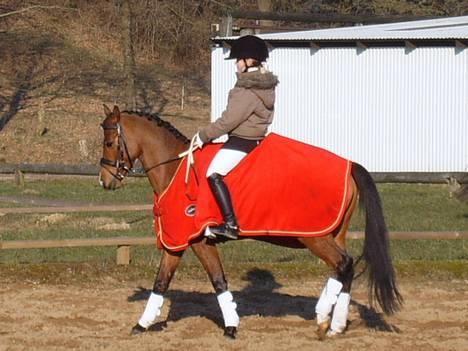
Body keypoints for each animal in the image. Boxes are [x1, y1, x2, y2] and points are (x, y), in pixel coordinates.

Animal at [98, 104, 402, 340]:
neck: (176, 169)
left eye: (110, 143)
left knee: (344, 264)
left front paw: (230, 327)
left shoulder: (193, 240)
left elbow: (213, 280)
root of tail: (349, 165)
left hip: (315, 236)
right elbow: (167, 282)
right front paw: (142, 324)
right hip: (333, 232)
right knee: (344, 270)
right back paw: (334, 324)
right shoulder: (184, 241)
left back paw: (324, 319)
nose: (104, 181)